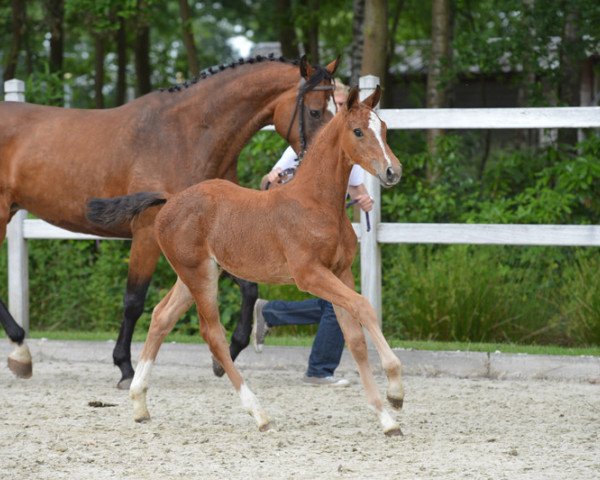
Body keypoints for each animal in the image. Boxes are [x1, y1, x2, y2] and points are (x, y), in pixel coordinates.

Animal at [0, 54, 338, 388]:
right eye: (315, 111)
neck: (187, 136)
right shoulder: (147, 231)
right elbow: (134, 300)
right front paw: (125, 368)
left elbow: (249, 288)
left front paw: (224, 357)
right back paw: (20, 351)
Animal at [85, 85, 404, 436]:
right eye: (358, 131)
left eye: (384, 128)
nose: (393, 171)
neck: (315, 203)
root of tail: (170, 201)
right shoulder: (310, 275)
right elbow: (364, 307)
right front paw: (395, 391)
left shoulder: (341, 271)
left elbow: (356, 339)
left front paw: (387, 417)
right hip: (199, 276)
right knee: (212, 334)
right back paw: (258, 412)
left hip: (197, 274)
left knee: (161, 317)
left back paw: (140, 403)